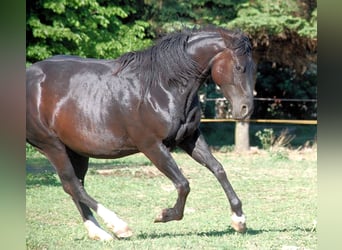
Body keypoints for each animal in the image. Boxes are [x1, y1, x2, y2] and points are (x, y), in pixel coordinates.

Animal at [26, 25, 255, 240]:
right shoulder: (151, 145)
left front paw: (239, 220)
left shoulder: (189, 138)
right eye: (238, 67)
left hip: (76, 150)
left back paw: (99, 233)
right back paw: (119, 226)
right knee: (72, 185)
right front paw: (164, 215)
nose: (245, 109)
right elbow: (183, 184)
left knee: (75, 186)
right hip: (52, 146)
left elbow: (218, 169)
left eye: (253, 67)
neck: (163, 87)